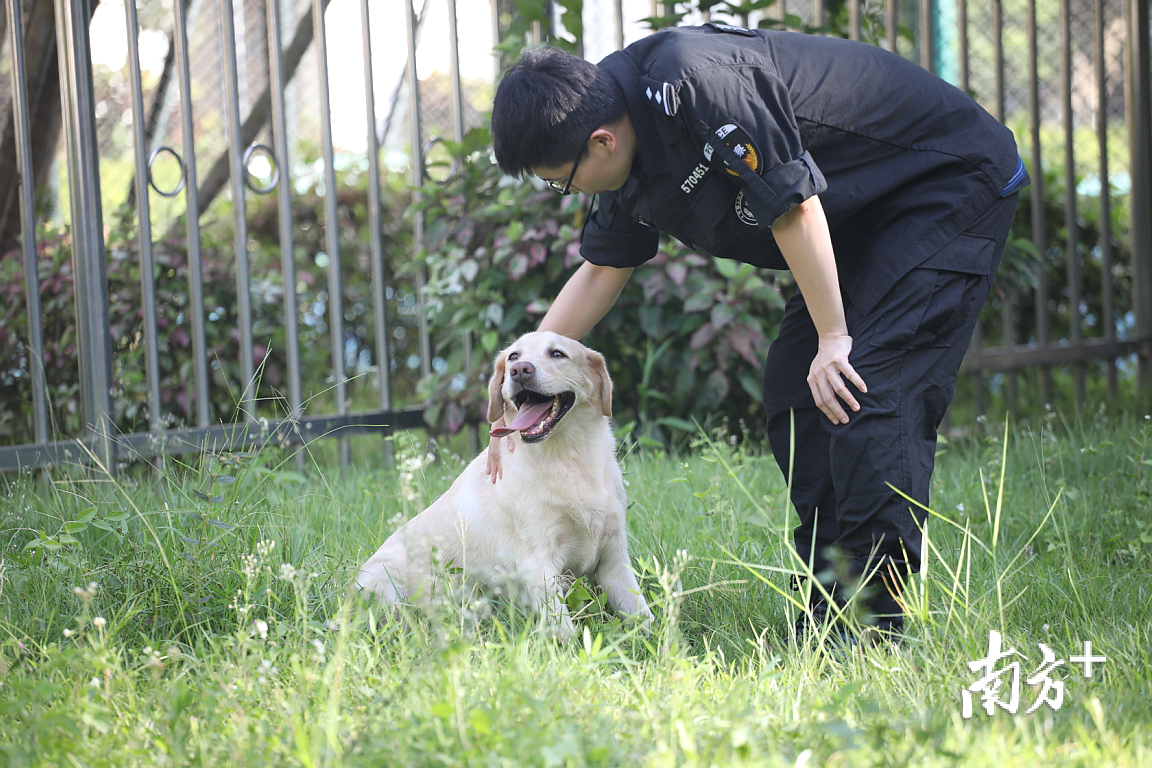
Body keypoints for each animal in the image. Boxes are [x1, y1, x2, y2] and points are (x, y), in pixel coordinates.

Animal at [354, 331, 654, 635]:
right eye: (513, 356)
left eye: (557, 354)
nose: (520, 370)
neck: (570, 457)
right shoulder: (539, 563)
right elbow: (565, 631)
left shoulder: (614, 559)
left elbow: (645, 618)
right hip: (387, 586)